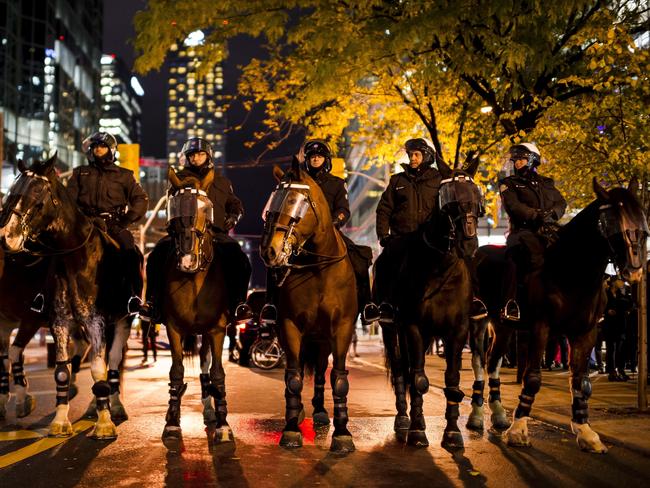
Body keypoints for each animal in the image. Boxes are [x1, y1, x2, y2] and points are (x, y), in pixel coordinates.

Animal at [157, 168, 233, 446]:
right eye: (174, 207)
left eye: (205, 208)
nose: (187, 261)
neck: (193, 278)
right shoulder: (173, 329)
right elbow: (176, 373)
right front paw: (172, 421)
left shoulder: (217, 330)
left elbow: (218, 373)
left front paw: (223, 424)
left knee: (205, 366)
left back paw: (211, 409)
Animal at [258, 158, 356, 452]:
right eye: (273, 202)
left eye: (295, 201)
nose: (269, 250)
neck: (318, 269)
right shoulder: (290, 326)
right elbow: (293, 378)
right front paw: (291, 429)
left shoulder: (342, 329)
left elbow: (339, 380)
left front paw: (342, 433)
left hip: (322, 340)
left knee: (322, 372)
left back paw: (321, 412)